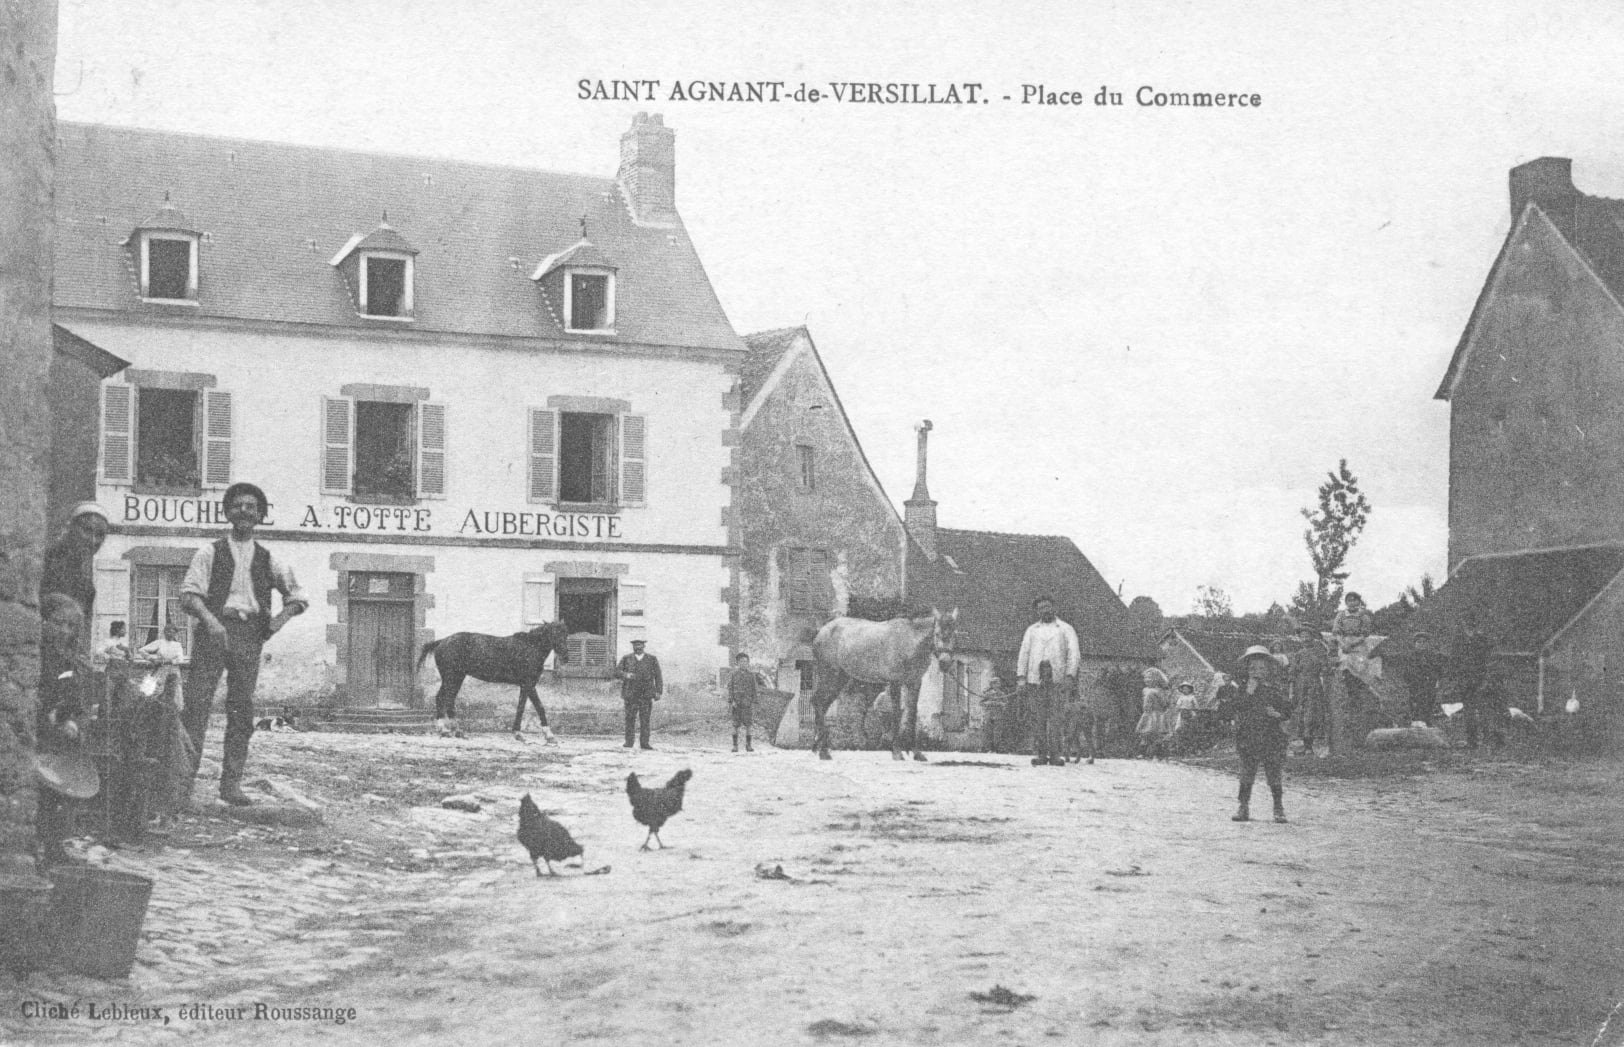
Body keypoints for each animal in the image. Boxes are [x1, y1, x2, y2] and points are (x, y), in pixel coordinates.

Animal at [418, 620, 571, 733]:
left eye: (566, 634)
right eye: (554, 633)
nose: (565, 657)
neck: (530, 647)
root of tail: (442, 641)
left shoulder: (527, 685)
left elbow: (528, 707)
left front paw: (529, 734)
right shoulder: (528, 684)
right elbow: (532, 707)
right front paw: (539, 735)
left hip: (456, 678)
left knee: (447, 699)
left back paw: (454, 730)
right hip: (452, 678)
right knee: (442, 698)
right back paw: (444, 729)